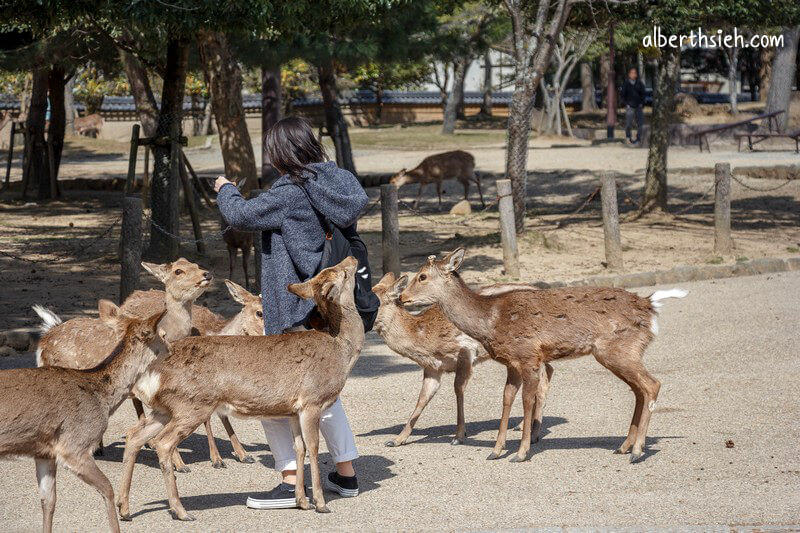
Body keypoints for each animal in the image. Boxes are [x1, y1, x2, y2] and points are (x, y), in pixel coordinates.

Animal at [0, 304, 167, 532]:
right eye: (163, 336)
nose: (172, 350)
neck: (102, 398)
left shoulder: (44, 451)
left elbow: (49, 501)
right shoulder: (74, 446)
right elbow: (107, 488)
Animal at [117, 256, 364, 516]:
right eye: (340, 272)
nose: (352, 258)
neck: (341, 350)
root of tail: (150, 371)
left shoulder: (293, 410)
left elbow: (300, 448)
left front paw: (301, 501)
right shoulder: (311, 401)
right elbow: (314, 447)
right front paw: (319, 503)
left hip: (165, 409)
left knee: (134, 436)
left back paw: (124, 507)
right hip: (192, 404)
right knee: (162, 443)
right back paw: (180, 510)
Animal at [372, 272, 552, 446]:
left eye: (376, 303)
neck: (425, 337)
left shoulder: (465, 351)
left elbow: (458, 389)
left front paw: (459, 436)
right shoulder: (433, 368)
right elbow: (422, 398)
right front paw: (397, 440)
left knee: (542, 380)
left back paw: (532, 432)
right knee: (548, 371)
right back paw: (523, 426)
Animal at [400, 248, 688, 462]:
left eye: (422, 276)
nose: (402, 297)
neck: (491, 321)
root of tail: (650, 306)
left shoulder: (529, 355)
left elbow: (528, 400)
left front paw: (520, 452)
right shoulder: (512, 363)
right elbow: (507, 399)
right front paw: (496, 451)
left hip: (619, 349)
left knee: (652, 384)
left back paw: (637, 451)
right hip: (620, 353)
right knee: (639, 390)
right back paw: (624, 446)